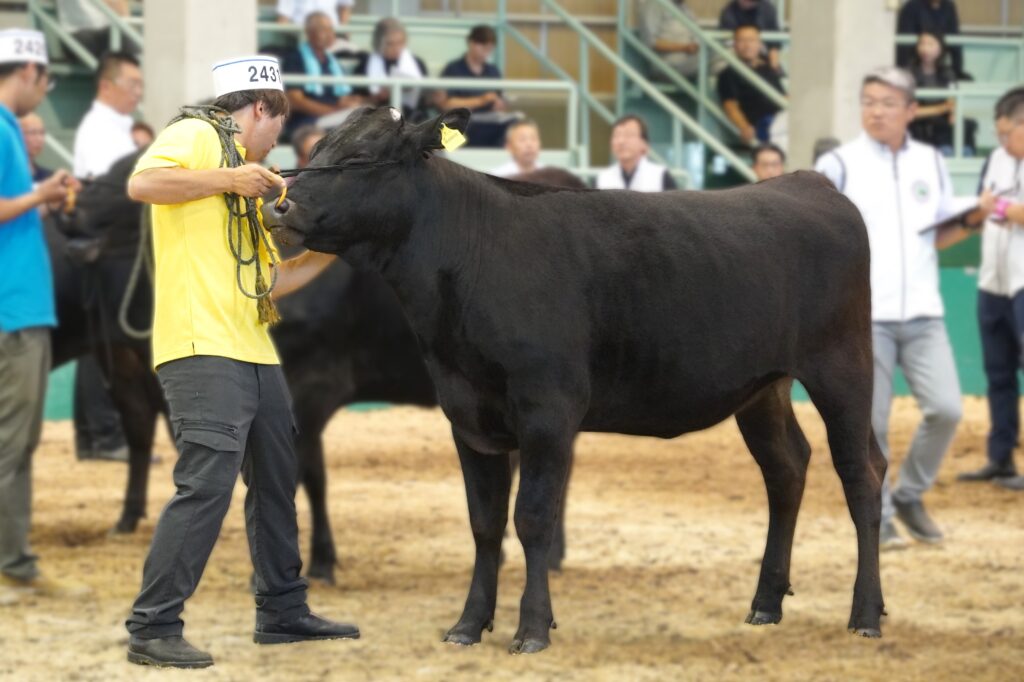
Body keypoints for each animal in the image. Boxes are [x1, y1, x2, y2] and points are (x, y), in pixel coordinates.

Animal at [264, 106, 888, 655]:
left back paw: (865, 613)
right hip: (763, 388)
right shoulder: (467, 414)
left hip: (843, 366)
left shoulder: (547, 410)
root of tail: (808, 182)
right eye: (316, 150)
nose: (279, 205)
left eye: (361, 158)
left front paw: (531, 629)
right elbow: (485, 523)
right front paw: (468, 624)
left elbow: (533, 517)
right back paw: (766, 603)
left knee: (862, 473)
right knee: (787, 469)